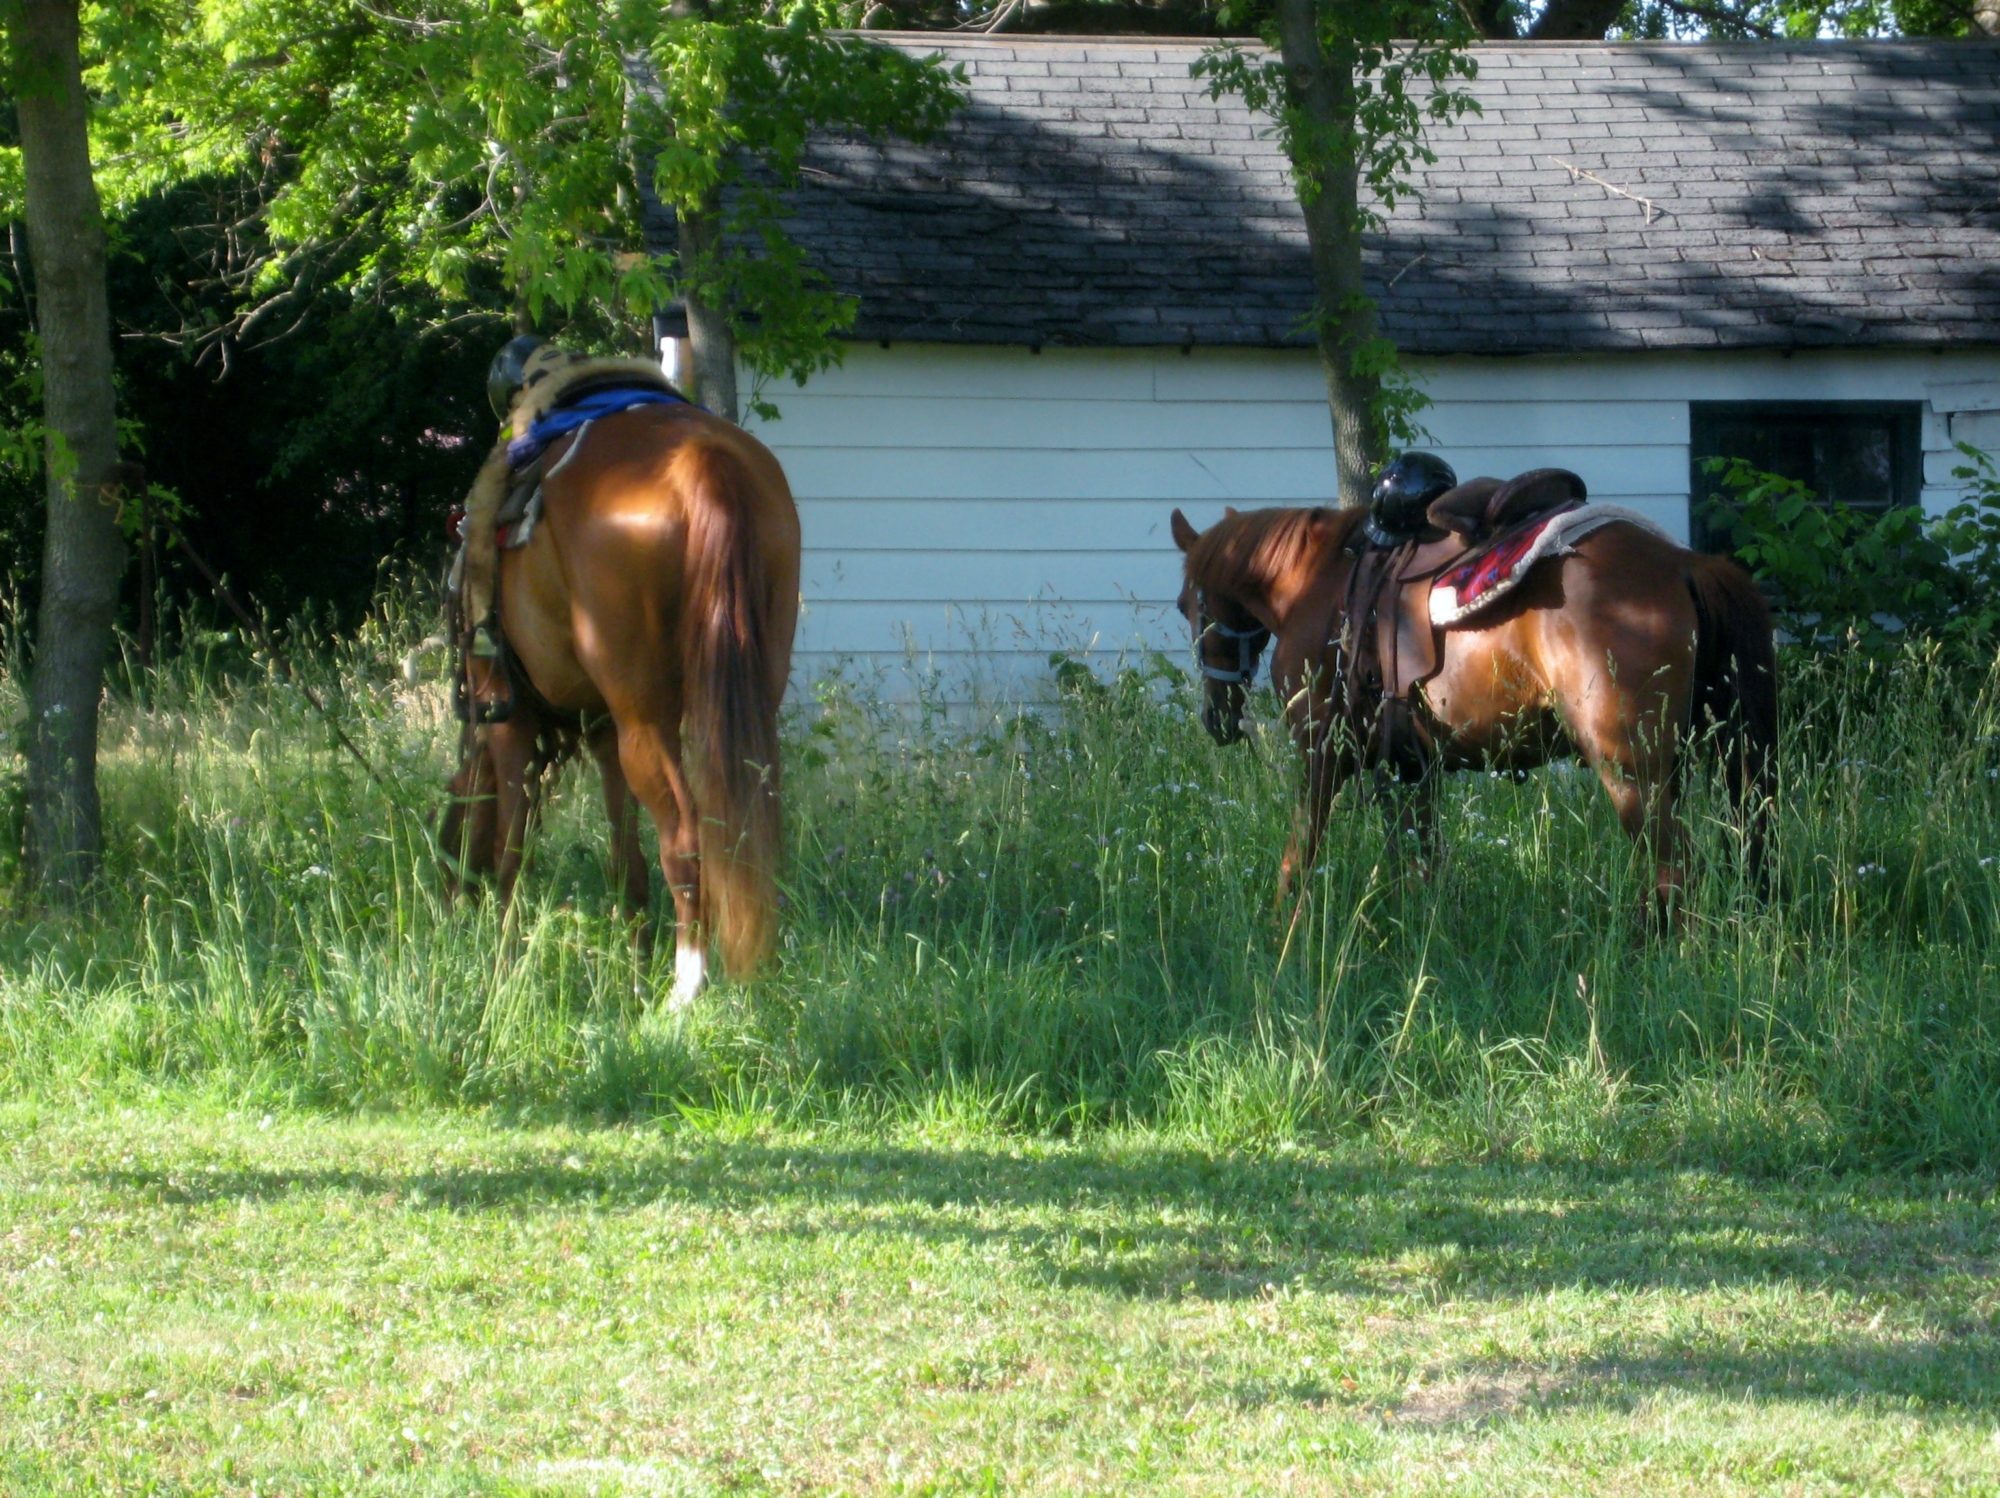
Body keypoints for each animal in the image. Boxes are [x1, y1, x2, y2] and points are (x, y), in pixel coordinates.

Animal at [440, 400, 801, 1007]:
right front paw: (633, 959)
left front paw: (507, 962)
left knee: (684, 839)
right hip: (746, 708)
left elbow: (514, 846)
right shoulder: (604, 731)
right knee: (747, 832)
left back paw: (685, 987)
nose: (449, 896)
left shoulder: (511, 724)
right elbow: (623, 852)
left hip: (647, 723)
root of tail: (700, 458)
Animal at [1169, 502, 1777, 918]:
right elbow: (1420, 861)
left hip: (1632, 771)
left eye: (1184, 604)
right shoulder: (1412, 768)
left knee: (1676, 871)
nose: (1215, 718)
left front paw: (1282, 928)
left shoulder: (1323, 751)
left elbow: (1300, 849)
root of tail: (1684, 562)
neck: (1316, 585)